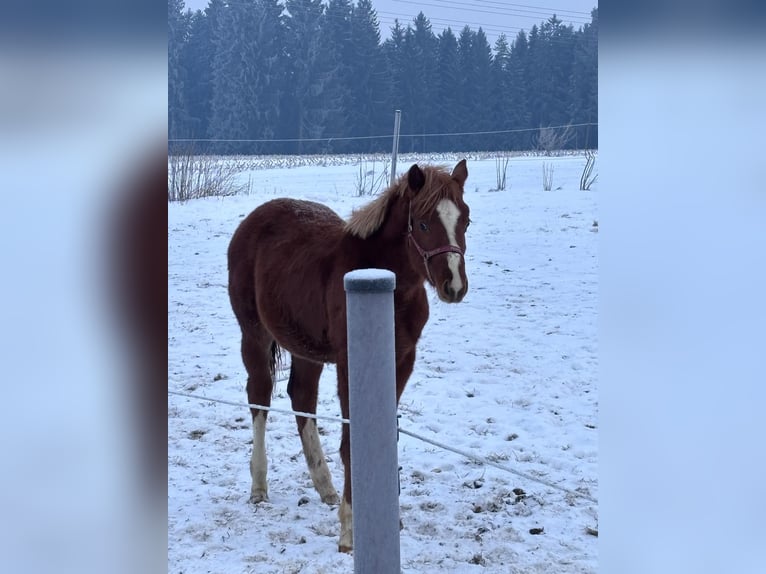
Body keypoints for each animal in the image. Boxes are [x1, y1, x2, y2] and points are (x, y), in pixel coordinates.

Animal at [227, 159, 471, 552]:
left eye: (465, 220)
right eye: (422, 223)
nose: (454, 286)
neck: (386, 282)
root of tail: (252, 221)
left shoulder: (403, 359)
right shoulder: (348, 360)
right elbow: (351, 441)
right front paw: (349, 531)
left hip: (305, 345)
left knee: (301, 397)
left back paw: (325, 487)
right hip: (254, 334)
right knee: (259, 397)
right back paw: (259, 487)